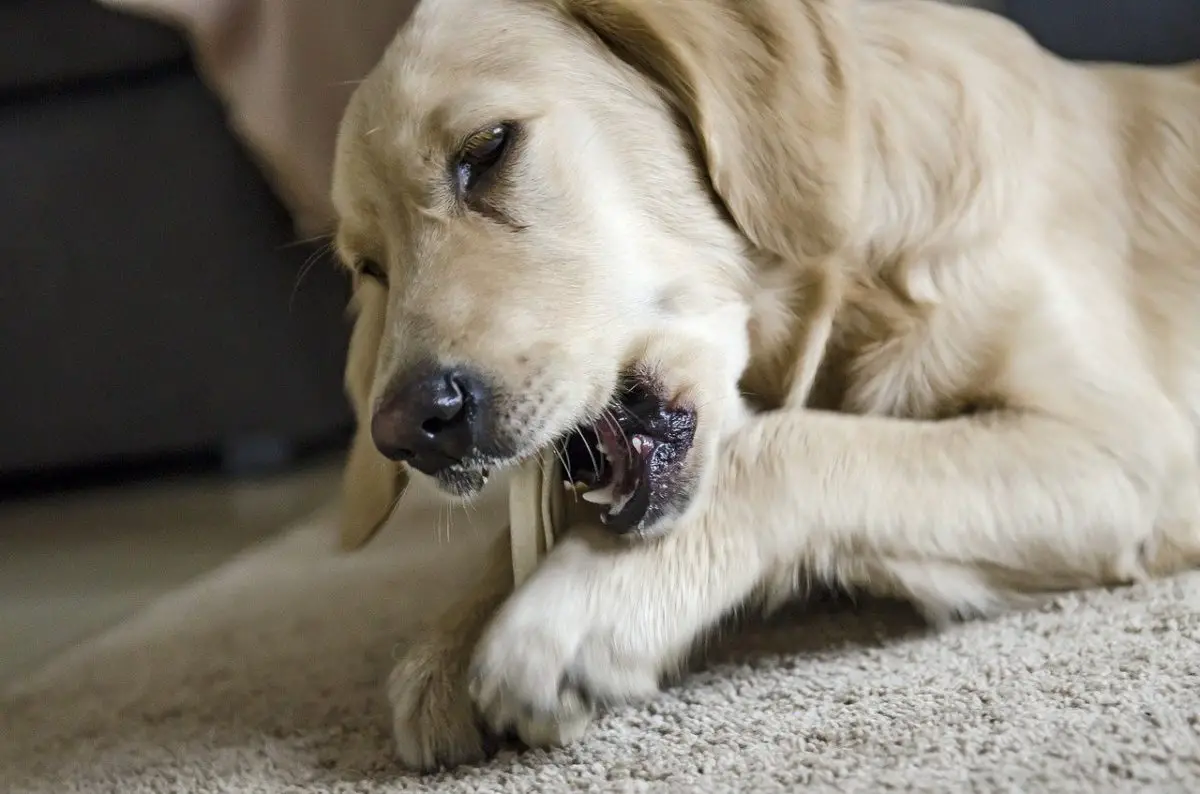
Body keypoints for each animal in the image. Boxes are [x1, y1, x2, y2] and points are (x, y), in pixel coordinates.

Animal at [328, 0, 1200, 772]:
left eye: (487, 150)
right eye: (369, 266)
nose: (409, 430)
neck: (848, 287)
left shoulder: (1129, 454)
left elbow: (785, 446)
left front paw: (582, 604)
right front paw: (451, 638)